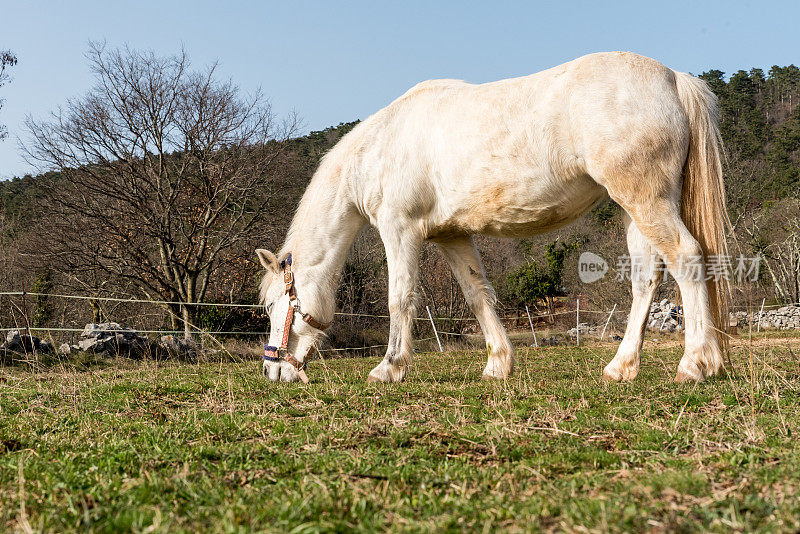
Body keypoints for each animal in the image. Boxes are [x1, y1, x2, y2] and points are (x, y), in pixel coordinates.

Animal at [258, 53, 732, 386]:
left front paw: (389, 368)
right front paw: (498, 364)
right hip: (638, 210)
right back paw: (622, 367)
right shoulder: (451, 236)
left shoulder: (400, 230)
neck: (380, 148)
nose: (272, 370)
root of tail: (674, 79)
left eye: (278, 304)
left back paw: (695, 364)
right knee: (645, 280)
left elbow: (401, 298)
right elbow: (477, 295)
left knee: (688, 260)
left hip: (647, 201)